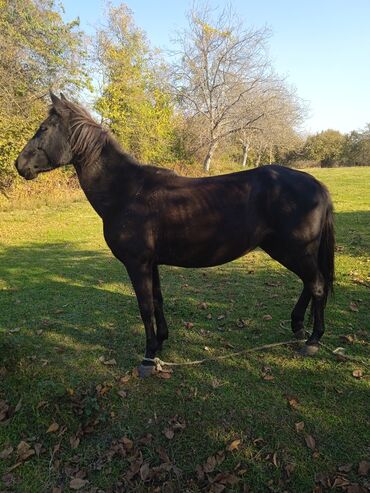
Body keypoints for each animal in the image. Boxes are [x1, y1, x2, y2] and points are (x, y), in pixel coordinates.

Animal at [15, 93, 336, 376]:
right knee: (310, 283)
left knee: (317, 284)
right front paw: (160, 344)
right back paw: (298, 328)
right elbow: (157, 301)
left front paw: (147, 358)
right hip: (293, 251)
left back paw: (312, 340)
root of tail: (316, 184)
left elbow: (145, 307)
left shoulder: (137, 264)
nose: (20, 165)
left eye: (43, 128)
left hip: (295, 250)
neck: (126, 192)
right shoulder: (151, 263)